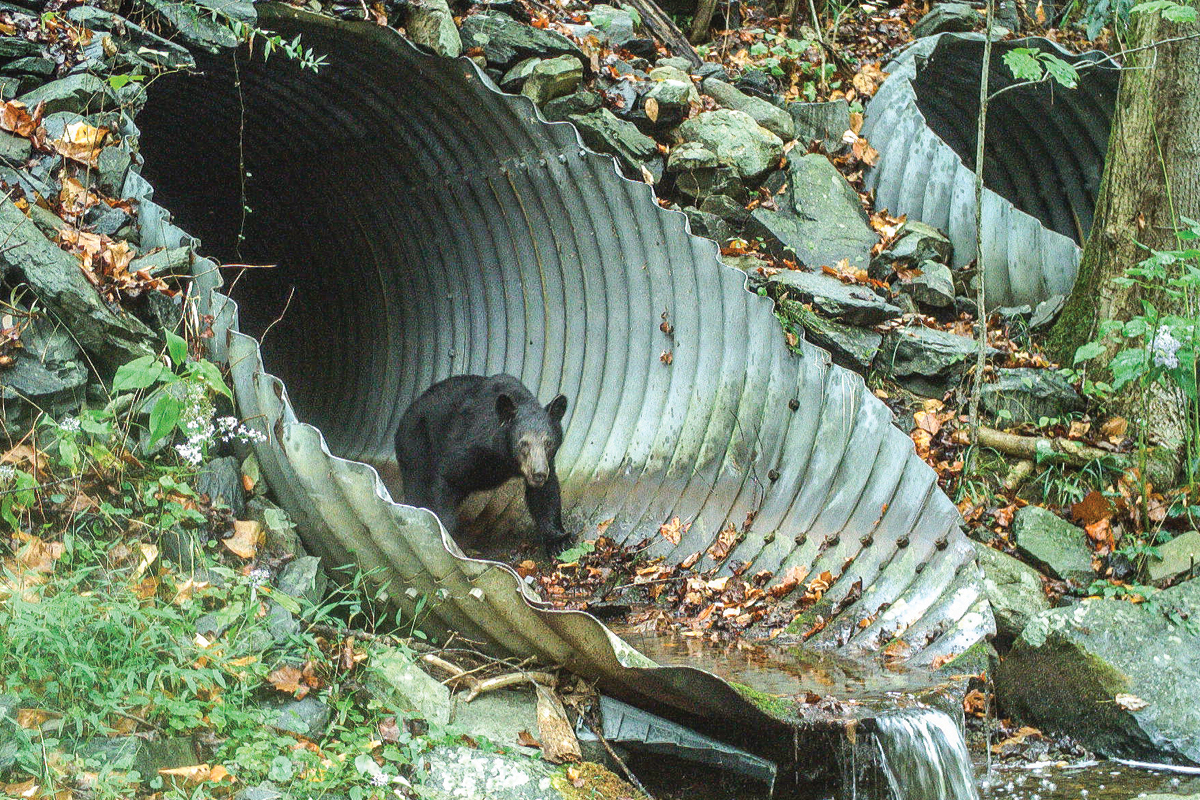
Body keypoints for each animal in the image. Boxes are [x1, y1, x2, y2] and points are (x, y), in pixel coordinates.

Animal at [394, 373, 570, 554]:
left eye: (548, 443)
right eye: (523, 443)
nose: (538, 474)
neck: (503, 455)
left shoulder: (545, 462)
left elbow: (545, 496)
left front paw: (559, 541)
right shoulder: (467, 445)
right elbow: (447, 479)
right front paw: (446, 535)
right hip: (415, 441)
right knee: (416, 482)